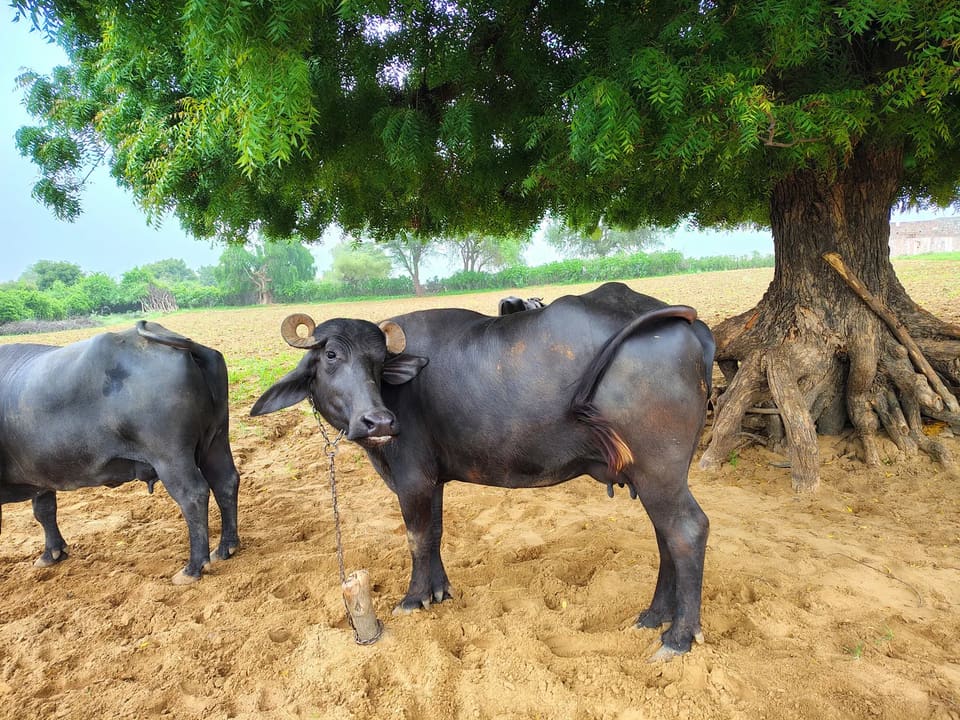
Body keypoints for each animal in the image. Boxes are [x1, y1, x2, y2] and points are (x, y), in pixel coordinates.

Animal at [0, 322, 240, 583]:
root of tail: (186, 346)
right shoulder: (41, 475)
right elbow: (44, 510)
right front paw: (51, 554)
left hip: (171, 457)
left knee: (193, 496)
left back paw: (193, 567)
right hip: (216, 439)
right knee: (225, 481)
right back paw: (226, 547)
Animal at [252, 282, 714, 657]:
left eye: (379, 361)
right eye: (331, 355)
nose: (378, 422)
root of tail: (685, 325)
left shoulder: (411, 479)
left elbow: (416, 537)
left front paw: (413, 598)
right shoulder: (433, 480)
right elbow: (435, 532)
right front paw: (438, 591)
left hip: (659, 471)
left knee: (687, 531)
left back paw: (678, 637)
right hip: (655, 476)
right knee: (666, 536)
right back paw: (654, 616)